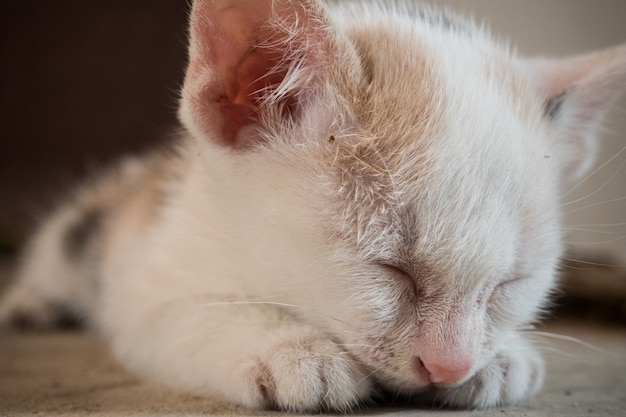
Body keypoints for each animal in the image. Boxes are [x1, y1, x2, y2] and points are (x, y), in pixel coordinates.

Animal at [1, 0, 624, 412]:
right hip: (87, 229)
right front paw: (288, 348)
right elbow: (180, 315)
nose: (450, 365)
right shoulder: (145, 273)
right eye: (390, 269)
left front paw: (502, 357)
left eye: (510, 283)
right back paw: (28, 303)